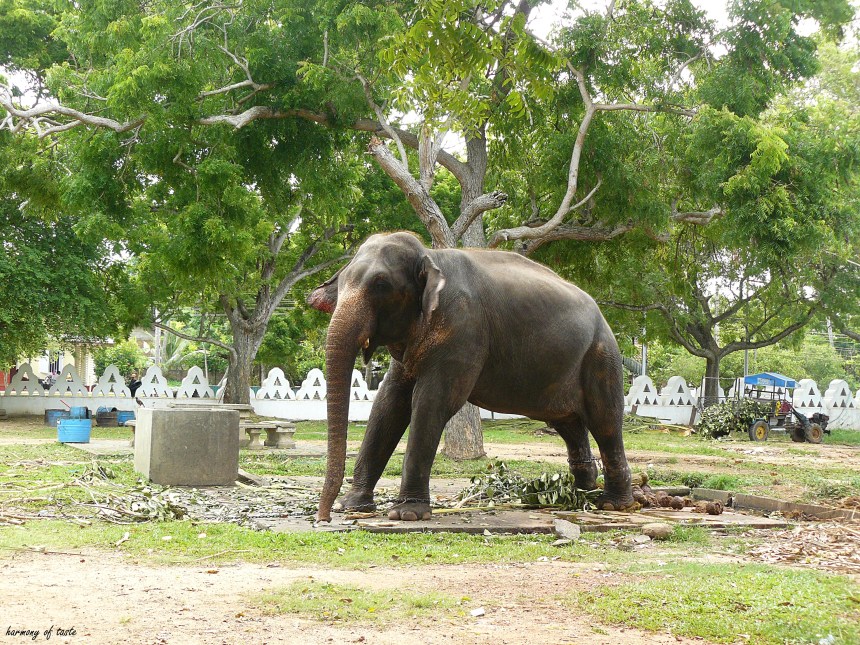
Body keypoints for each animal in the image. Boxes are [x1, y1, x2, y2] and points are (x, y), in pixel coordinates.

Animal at [307, 231, 634, 522]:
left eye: (381, 284)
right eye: (342, 281)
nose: (323, 518)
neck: (431, 256)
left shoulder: (464, 329)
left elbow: (431, 402)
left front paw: (407, 514)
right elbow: (388, 404)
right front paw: (352, 507)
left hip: (601, 356)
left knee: (605, 421)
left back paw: (612, 505)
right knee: (568, 423)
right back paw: (578, 494)